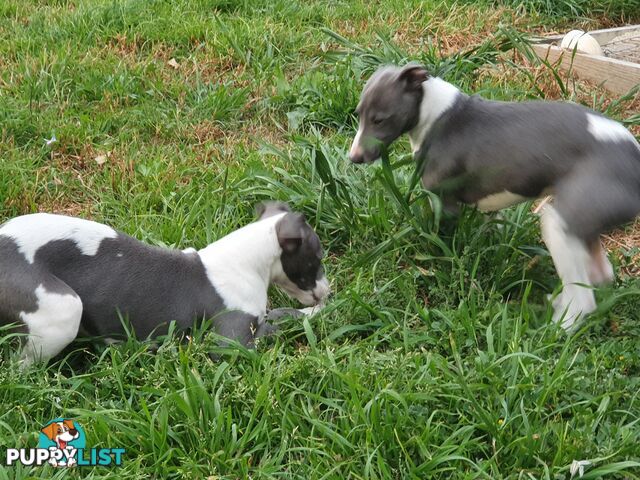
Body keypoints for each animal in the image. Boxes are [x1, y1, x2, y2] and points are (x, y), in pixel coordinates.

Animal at [0, 201, 330, 366]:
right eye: (318, 256)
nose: (328, 291)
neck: (244, 261)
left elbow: (282, 315)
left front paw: (316, 312)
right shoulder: (231, 342)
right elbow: (276, 330)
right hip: (63, 310)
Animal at [350, 63, 640, 332]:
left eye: (379, 120)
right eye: (358, 114)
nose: (353, 158)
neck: (438, 115)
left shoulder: (445, 203)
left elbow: (443, 241)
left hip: (560, 223)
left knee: (583, 300)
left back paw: (555, 329)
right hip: (585, 222)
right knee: (600, 274)